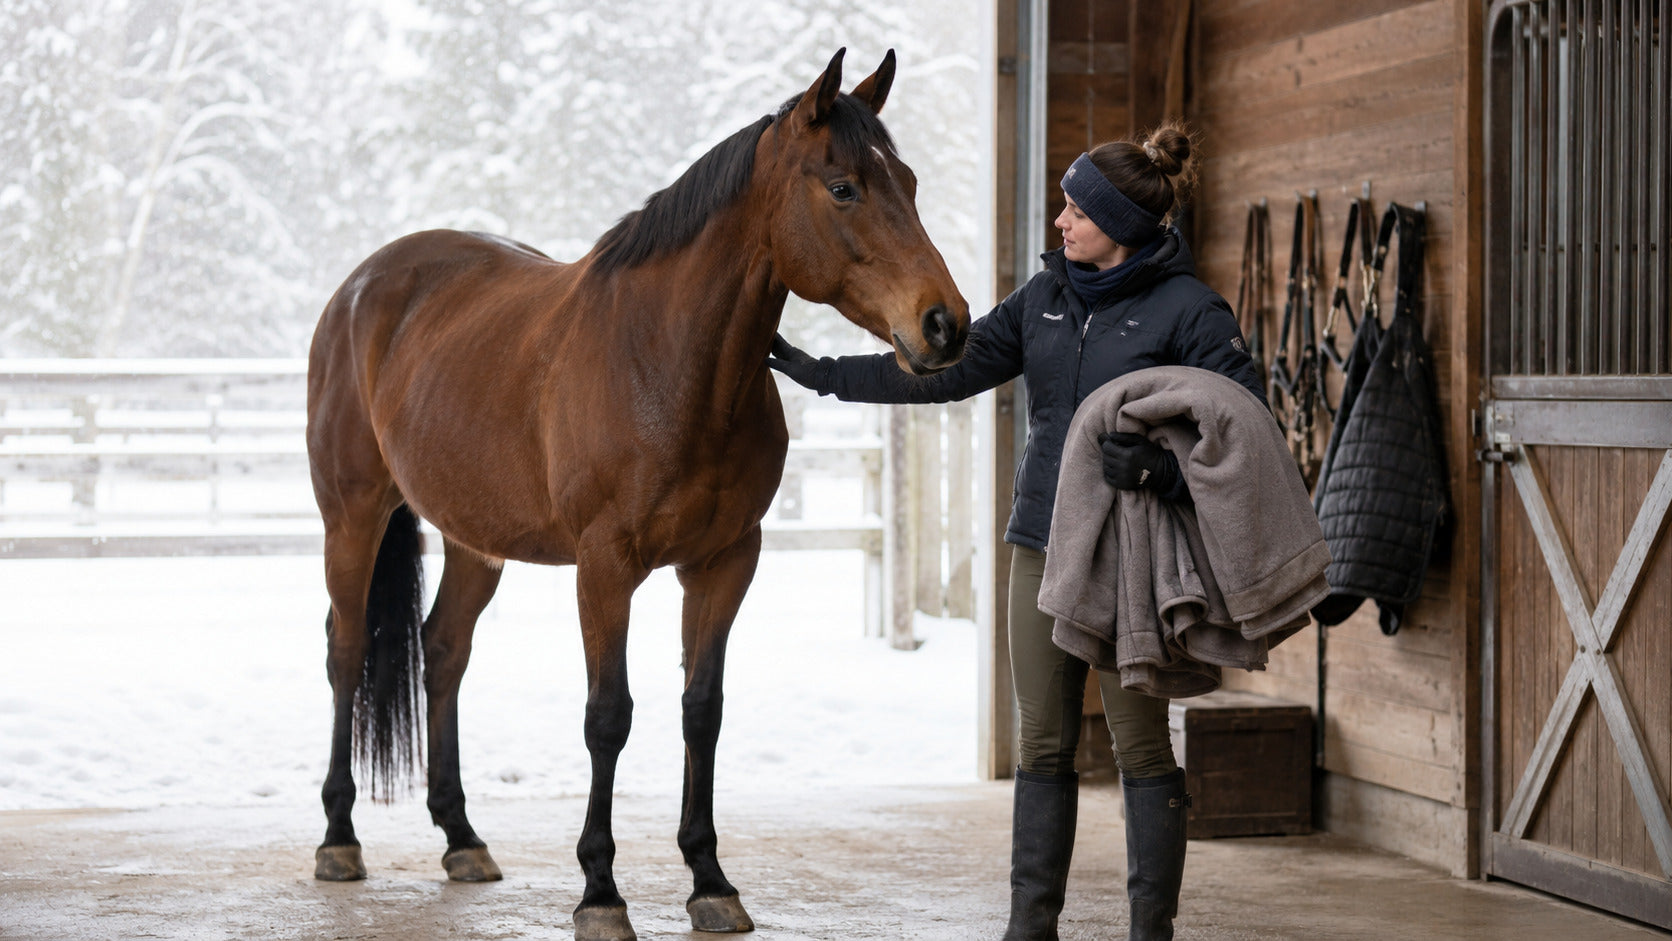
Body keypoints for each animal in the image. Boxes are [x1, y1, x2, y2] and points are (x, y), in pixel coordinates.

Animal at [304, 48, 968, 941]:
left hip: (476, 540)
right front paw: (600, 891)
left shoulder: (725, 562)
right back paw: (339, 836)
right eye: (843, 188)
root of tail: (362, 286)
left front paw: (710, 879)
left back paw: (462, 837)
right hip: (353, 518)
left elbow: (701, 708)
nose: (946, 324)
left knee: (443, 650)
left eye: (910, 181)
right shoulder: (605, 567)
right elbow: (607, 715)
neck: (667, 361)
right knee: (345, 651)